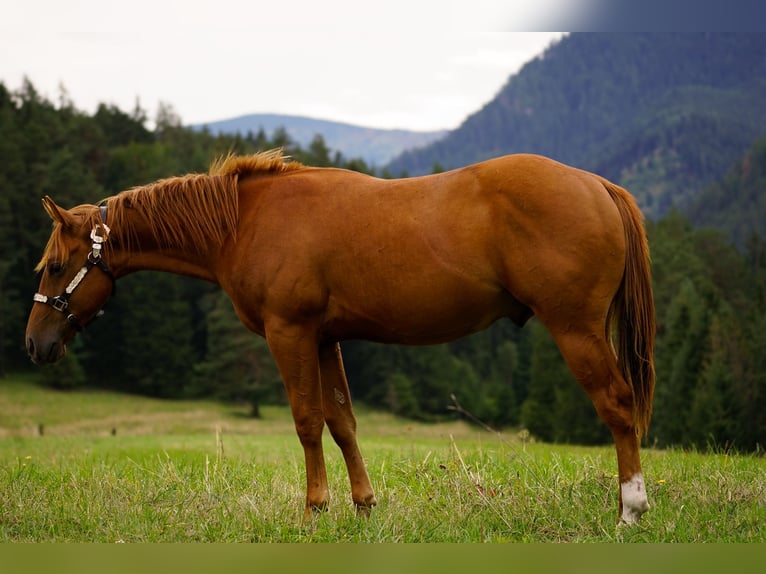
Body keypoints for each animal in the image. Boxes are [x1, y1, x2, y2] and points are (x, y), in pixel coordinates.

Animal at [25, 150, 655, 524]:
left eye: (54, 267)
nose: (34, 345)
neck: (245, 221)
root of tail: (596, 183)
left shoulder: (290, 333)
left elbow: (307, 421)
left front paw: (314, 508)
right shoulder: (325, 339)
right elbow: (343, 421)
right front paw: (363, 504)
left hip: (575, 329)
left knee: (618, 405)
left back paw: (631, 509)